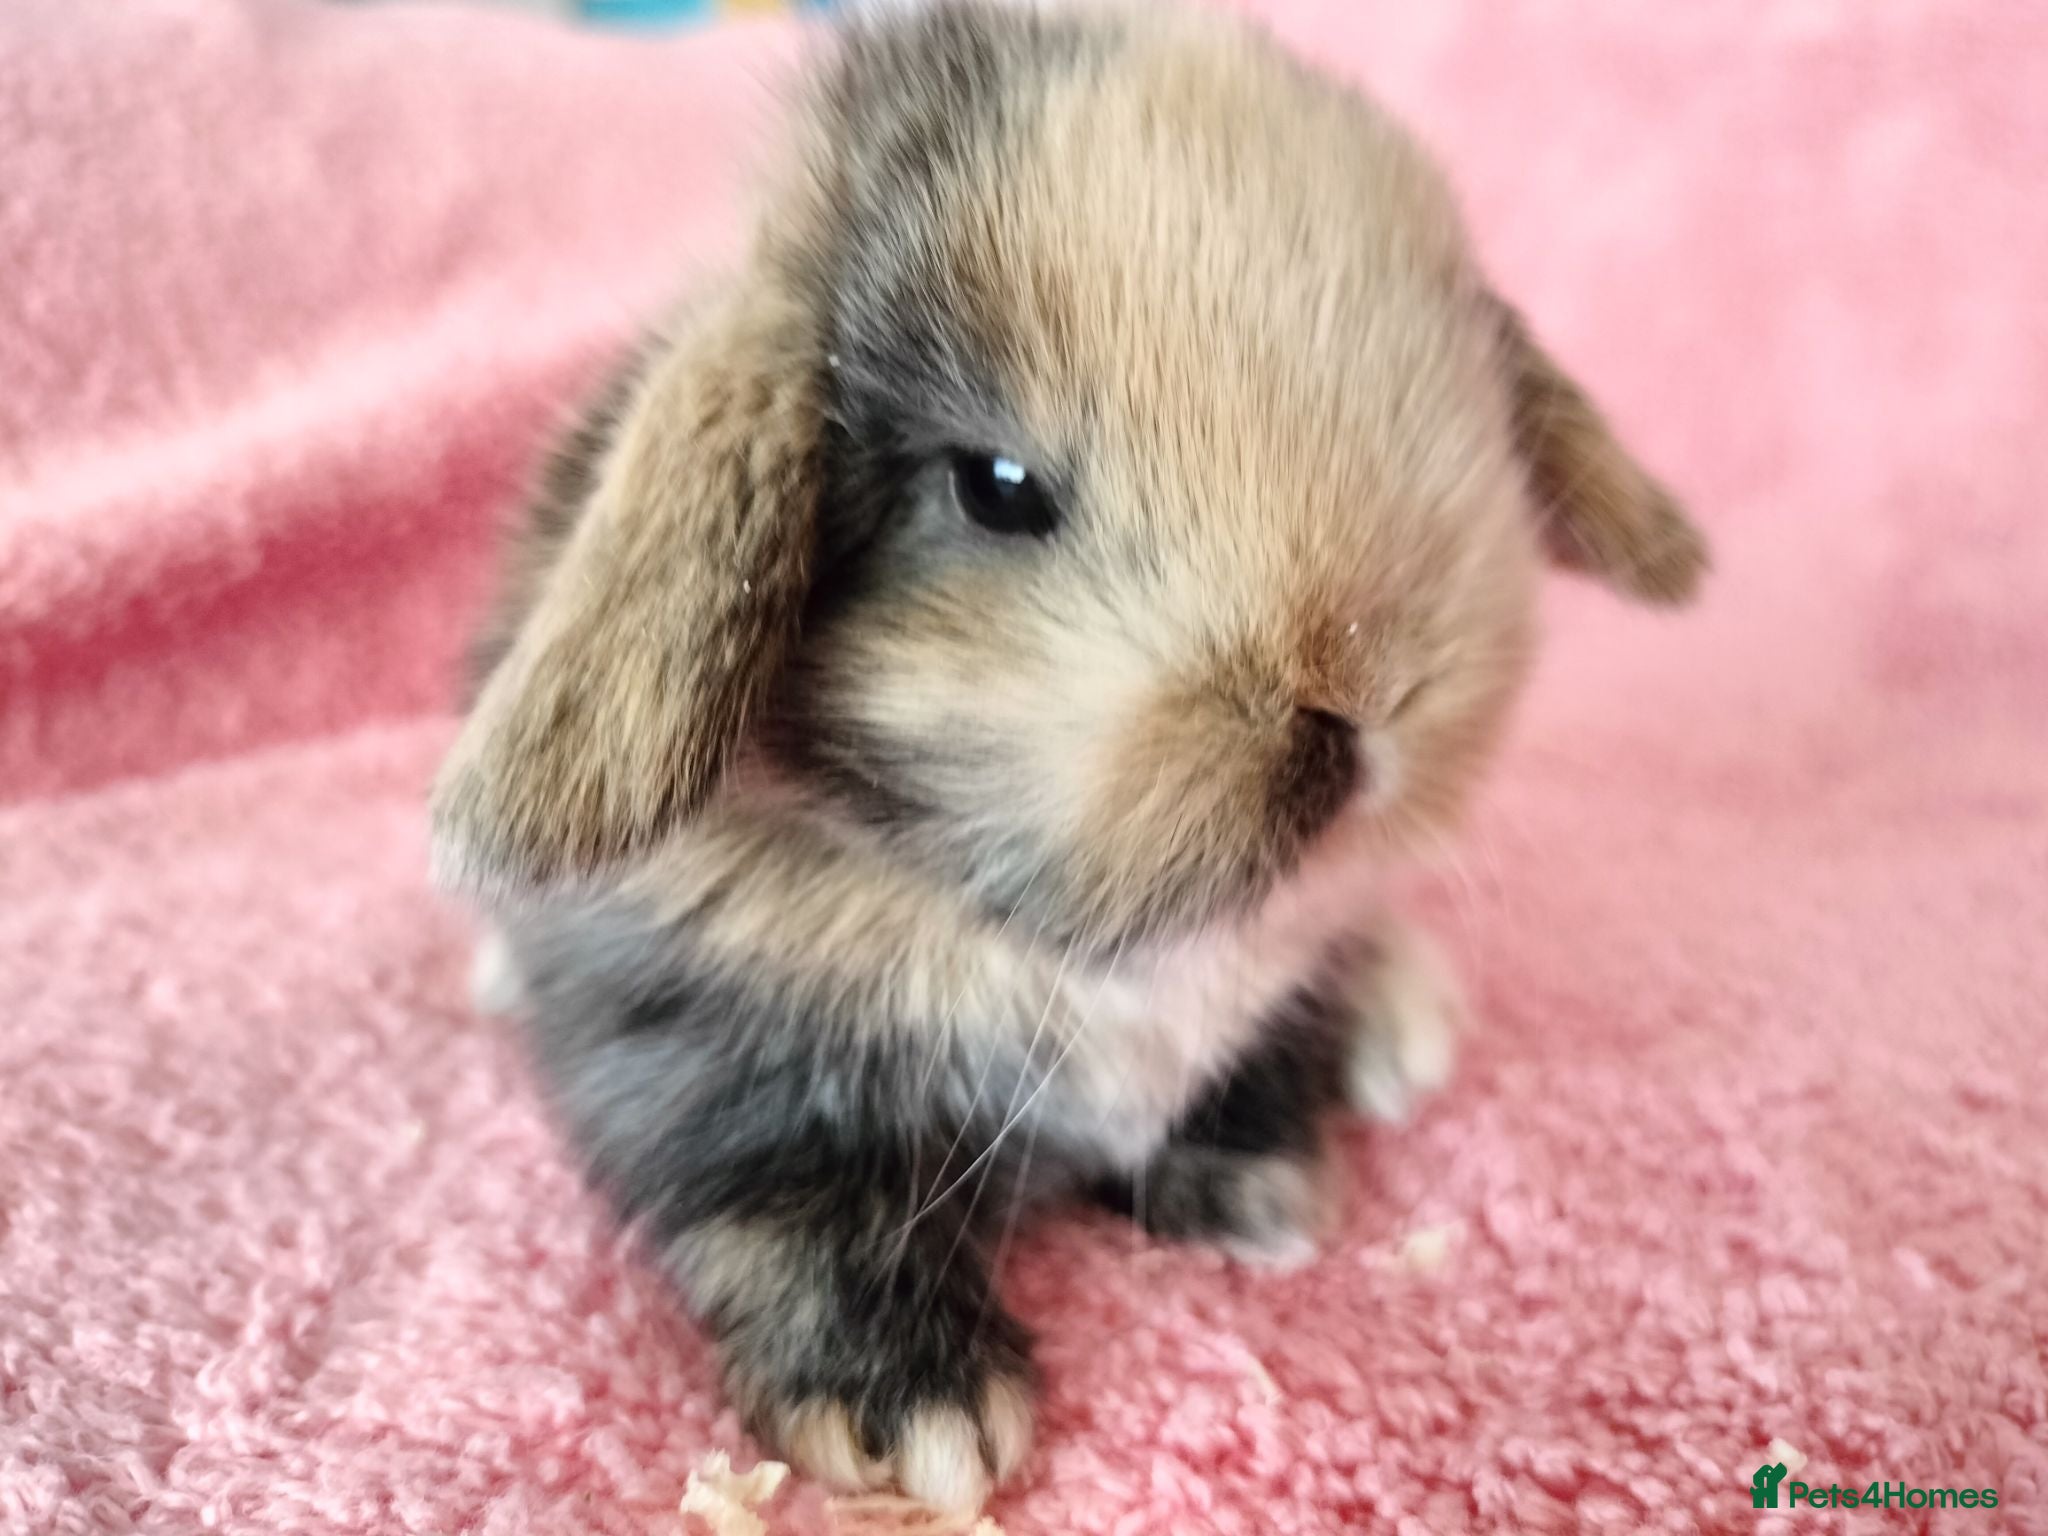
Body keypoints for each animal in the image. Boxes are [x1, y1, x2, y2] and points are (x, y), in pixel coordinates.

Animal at [432, 0, 1706, 1514]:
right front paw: (920, 1414)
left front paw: (1257, 1188)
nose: (1360, 702)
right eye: (996, 489)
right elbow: (783, 1201)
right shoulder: (696, 1045)